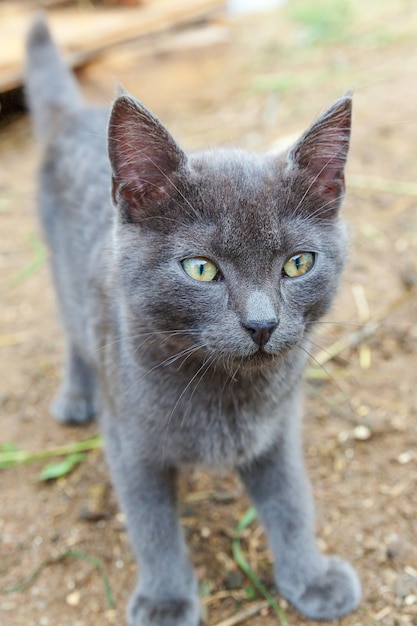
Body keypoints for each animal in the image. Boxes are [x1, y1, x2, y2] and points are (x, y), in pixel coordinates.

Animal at [26, 14, 360, 624]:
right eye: (201, 269)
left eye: (297, 263)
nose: (262, 325)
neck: (225, 394)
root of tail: (74, 115)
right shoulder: (131, 444)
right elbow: (152, 524)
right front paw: (165, 598)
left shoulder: (278, 429)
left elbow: (291, 499)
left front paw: (311, 576)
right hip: (60, 274)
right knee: (71, 330)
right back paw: (77, 395)